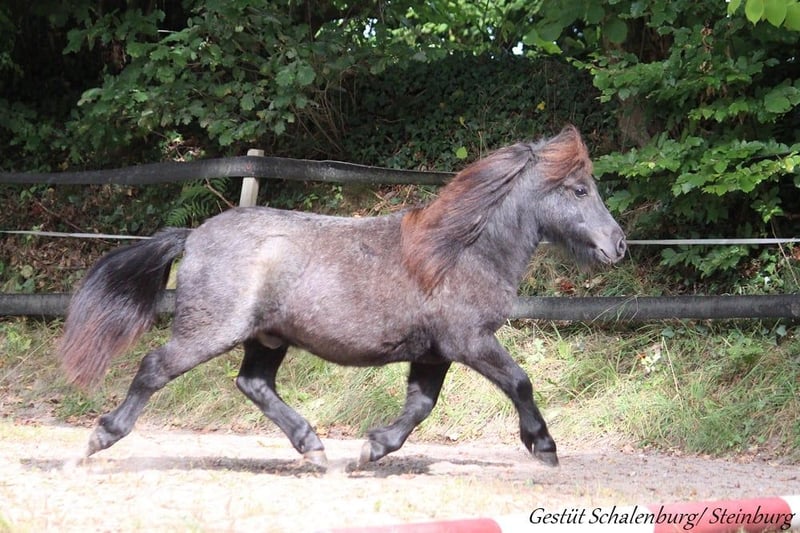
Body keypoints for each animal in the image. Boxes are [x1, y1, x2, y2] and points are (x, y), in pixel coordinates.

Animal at [59, 125, 626, 469]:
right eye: (580, 190)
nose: (617, 244)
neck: (461, 250)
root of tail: (193, 236)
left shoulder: (434, 351)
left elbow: (420, 405)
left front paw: (372, 449)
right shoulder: (469, 341)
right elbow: (520, 382)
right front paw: (544, 447)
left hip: (268, 337)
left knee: (253, 383)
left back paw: (314, 448)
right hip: (209, 331)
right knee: (155, 368)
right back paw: (98, 439)